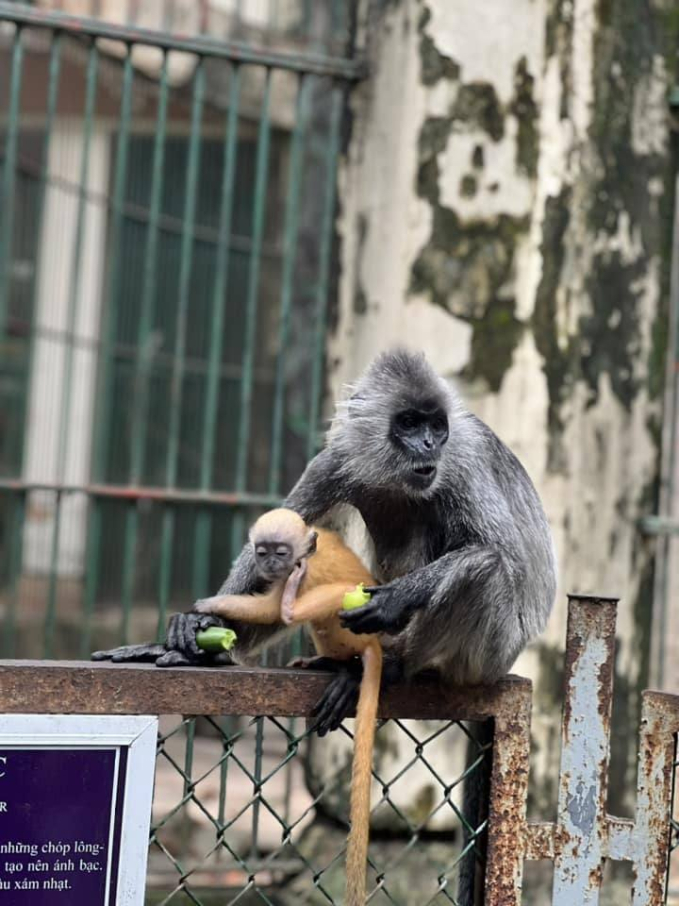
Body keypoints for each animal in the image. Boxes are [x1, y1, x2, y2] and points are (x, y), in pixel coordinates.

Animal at [199, 508, 386, 904]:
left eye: (280, 553)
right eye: (263, 551)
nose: (269, 564)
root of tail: (374, 644)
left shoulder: (304, 570)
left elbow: (270, 610)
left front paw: (208, 606)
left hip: (350, 626)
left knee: (325, 601)